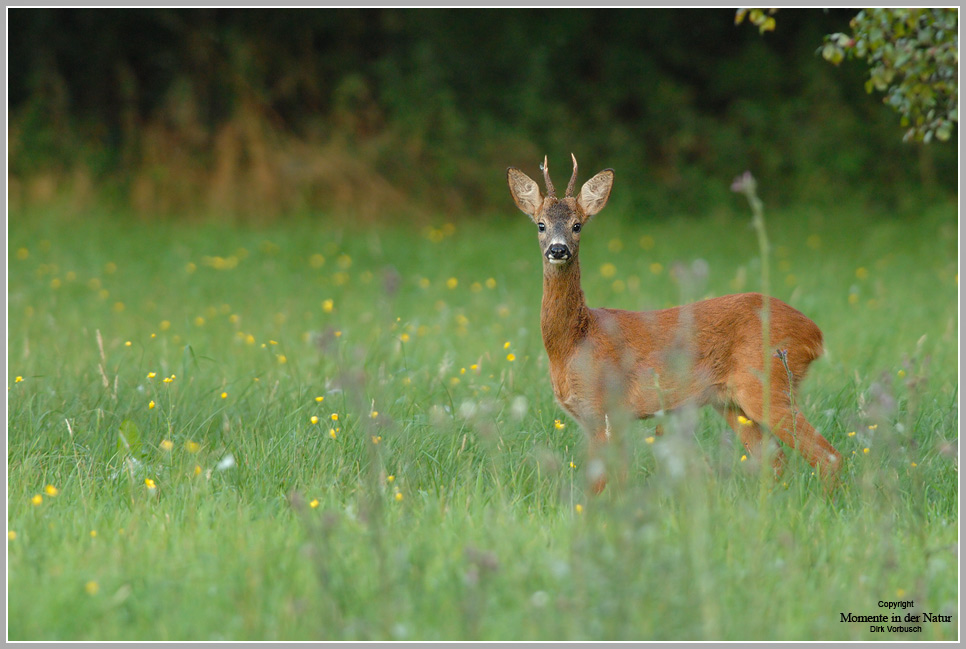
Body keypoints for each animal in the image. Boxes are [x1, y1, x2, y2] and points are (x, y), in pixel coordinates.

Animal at [510, 156, 844, 492]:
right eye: (541, 224)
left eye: (577, 225)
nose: (558, 249)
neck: (574, 342)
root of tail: (814, 334)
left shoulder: (606, 405)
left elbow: (606, 482)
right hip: (732, 403)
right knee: (775, 461)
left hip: (768, 384)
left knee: (827, 455)